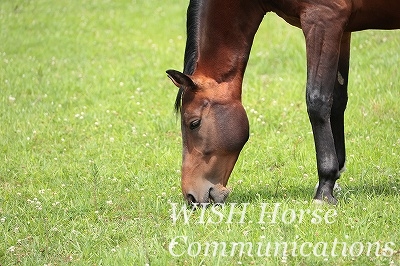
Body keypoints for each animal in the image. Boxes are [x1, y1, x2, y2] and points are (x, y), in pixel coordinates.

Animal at [166, 0, 400, 206]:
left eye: (194, 123)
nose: (191, 197)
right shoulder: (343, 30)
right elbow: (337, 101)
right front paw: (335, 178)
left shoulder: (323, 20)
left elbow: (317, 101)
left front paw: (324, 189)